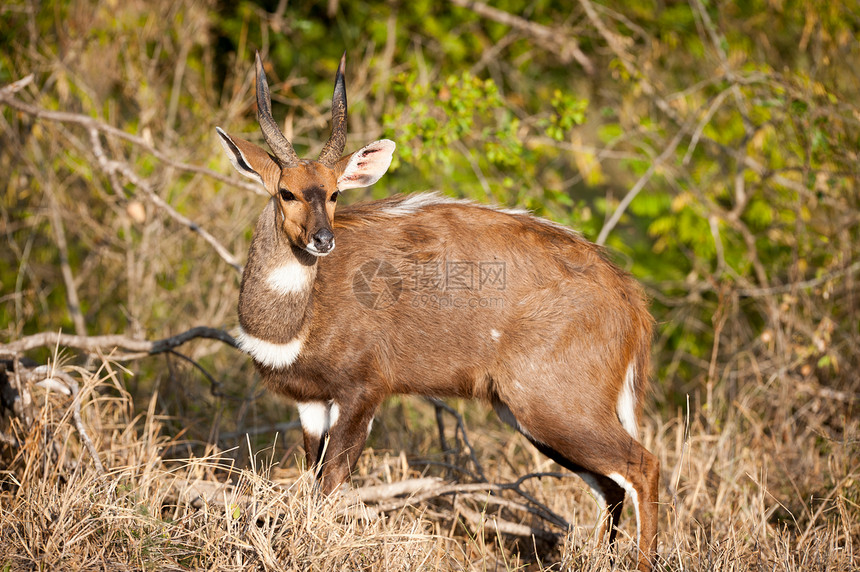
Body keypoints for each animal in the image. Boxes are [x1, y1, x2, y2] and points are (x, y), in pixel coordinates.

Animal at [218, 51, 660, 568]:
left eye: (334, 193)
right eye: (286, 192)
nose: (322, 240)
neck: (297, 324)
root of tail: (632, 302)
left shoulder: (364, 390)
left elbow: (332, 484)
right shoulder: (311, 402)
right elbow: (314, 479)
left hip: (552, 404)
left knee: (642, 465)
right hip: (528, 414)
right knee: (612, 486)